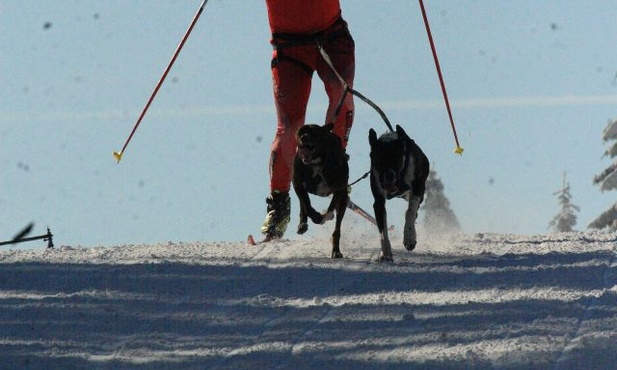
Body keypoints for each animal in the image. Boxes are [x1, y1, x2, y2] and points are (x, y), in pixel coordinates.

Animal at [292, 123, 348, 258]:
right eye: (301, 132)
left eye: (315, 133)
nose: (303, 138)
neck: (316, 164)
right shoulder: (298, 185)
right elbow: (307, 205)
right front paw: (316, 217)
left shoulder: (339, 189)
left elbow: (331, 208)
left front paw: (325, 216)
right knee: (303, 205)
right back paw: (303, 224)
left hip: (344, 198)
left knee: (337, 226)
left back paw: (336, 251)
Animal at [366, 125, 428, 264]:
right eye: (378, 159)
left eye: (396, 159)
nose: (389, 176)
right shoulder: (378, 202)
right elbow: (382, 230)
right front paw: (385, 253)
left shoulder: (417, 189)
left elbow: (410, 212)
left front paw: (409, 238)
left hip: (419, 191)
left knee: (413, 209)